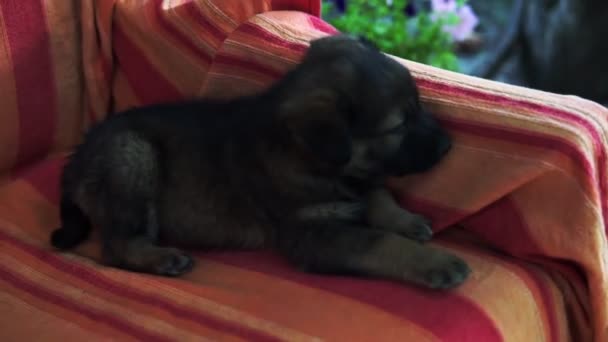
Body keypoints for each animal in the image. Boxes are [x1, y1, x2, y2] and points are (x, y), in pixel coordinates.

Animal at [52, 34, 470, 290]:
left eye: (419, 105)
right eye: (400, 125)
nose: (449, 145)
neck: (310, 158)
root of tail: (75, 161)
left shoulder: (356, 184)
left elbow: (377, 194)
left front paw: (405, 218)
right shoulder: (310, 235)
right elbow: (380, 242)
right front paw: (435, 262)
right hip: (131, 156)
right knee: (117, 246)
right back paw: (162, 257)